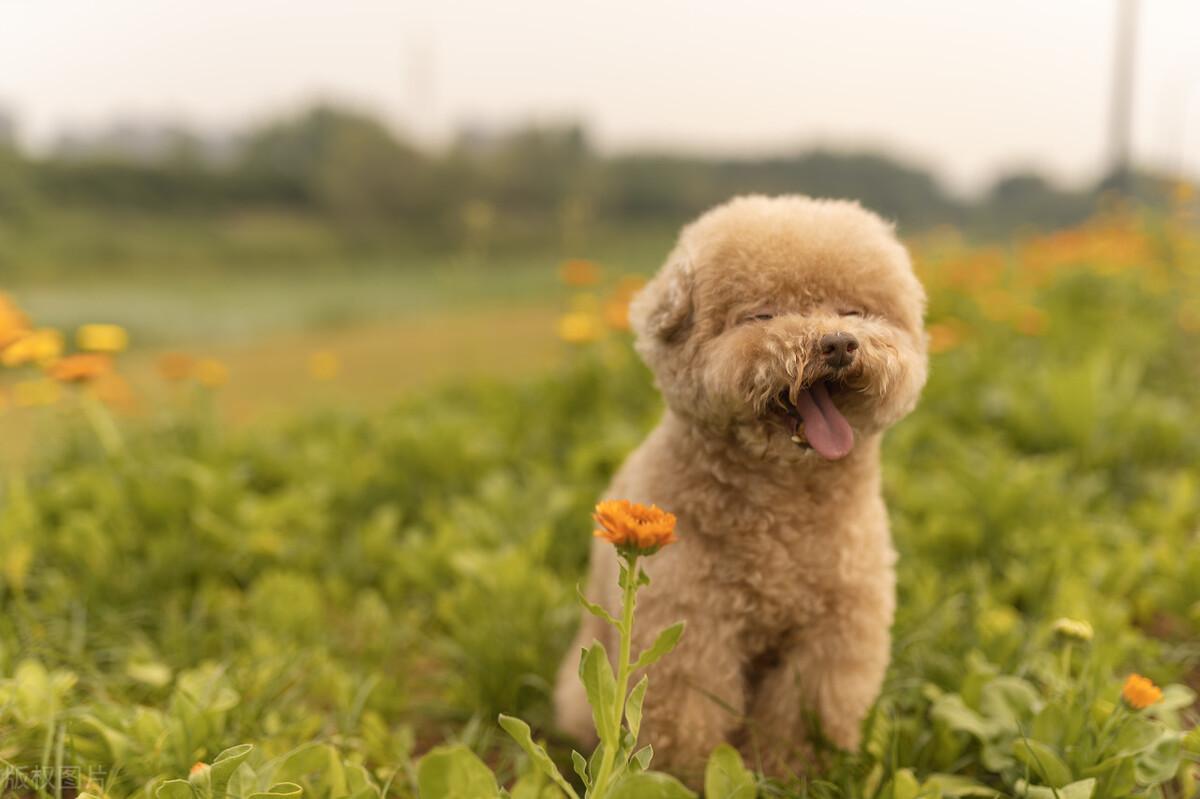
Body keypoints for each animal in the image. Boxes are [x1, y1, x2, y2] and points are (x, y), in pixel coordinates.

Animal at [552, 194, 926, 782]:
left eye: (855, 312)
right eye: (763, 315)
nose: (839, 343)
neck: (784, 508)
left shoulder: (833, 634)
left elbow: (802, 718)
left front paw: (790, 773)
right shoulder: (694, 628)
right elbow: (687, 720)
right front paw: (685, 778)